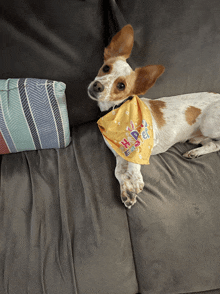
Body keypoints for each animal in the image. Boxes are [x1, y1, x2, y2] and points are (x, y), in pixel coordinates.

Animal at [87, 24, 220, 209]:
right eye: (106, 68)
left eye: (121, 86)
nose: (97, 86)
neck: (117, 111)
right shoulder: (119, 155)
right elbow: (119, 172)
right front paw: (127, 191)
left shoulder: (147, 139)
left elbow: (134, 160)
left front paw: (135, 180)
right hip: (200, 134)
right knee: (214, 144)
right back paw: (195, 152)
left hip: (209, 124)